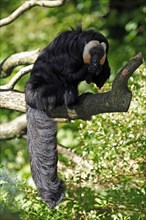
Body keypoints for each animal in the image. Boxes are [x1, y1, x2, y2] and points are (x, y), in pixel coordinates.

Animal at [24, 27, 110, 208]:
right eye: (93, 53)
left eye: (100, 55)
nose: (94, 61)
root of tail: (32, 98)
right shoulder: (69, 52)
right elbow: (66, 73)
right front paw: (87, 70)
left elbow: (102, 78)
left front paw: (97, 71)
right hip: (46, 91)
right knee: (64, 82)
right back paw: (73, 100)